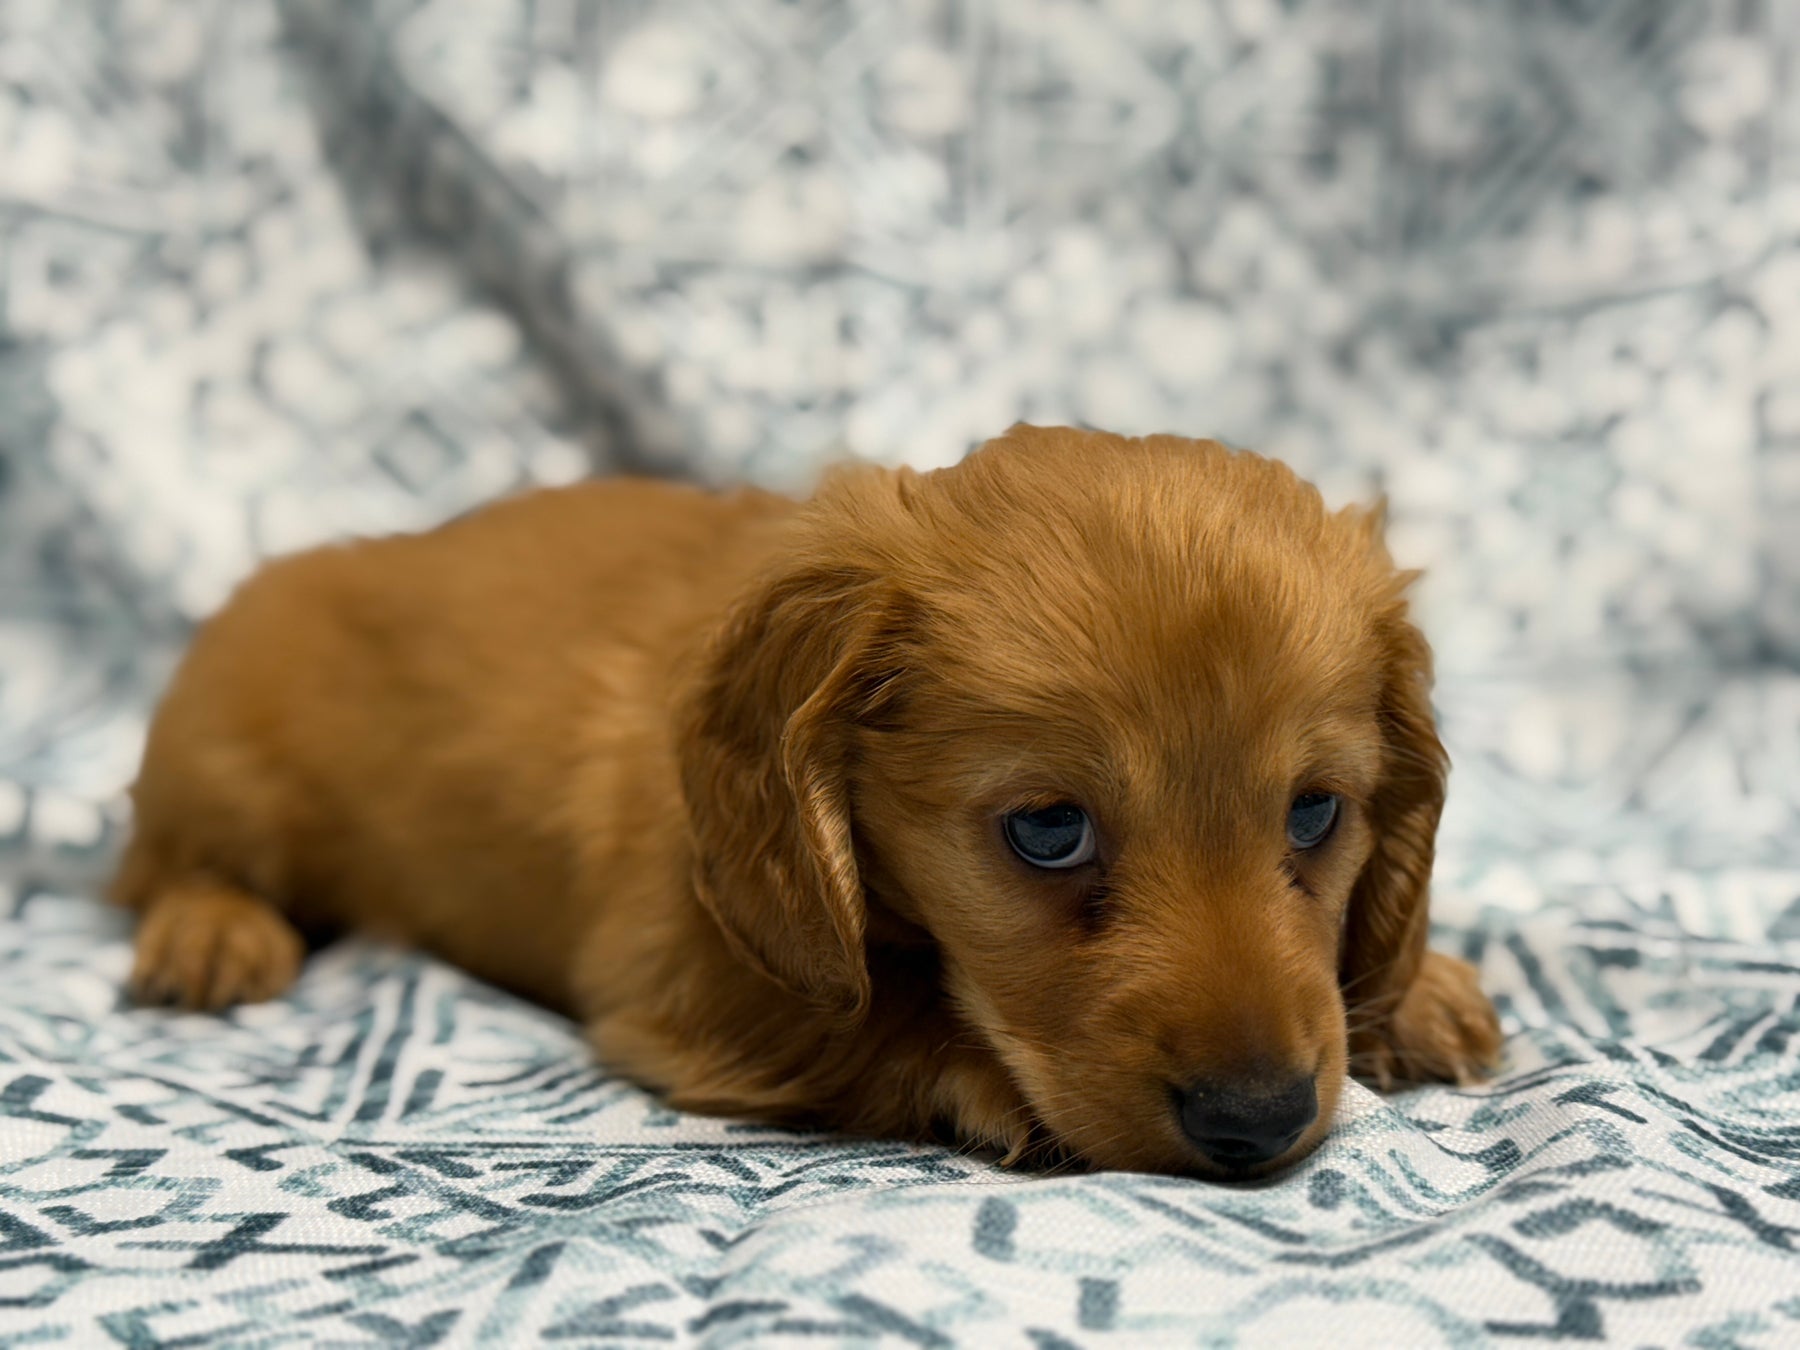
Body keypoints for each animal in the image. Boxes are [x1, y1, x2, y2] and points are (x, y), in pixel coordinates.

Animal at [111, 425, 1500, 1177]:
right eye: (1048, 831)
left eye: (1315, 813)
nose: (1260, 1121)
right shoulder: (686, 975)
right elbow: (874, 1018)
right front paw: (976, 1072)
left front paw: (1420, 989)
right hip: (221, 775)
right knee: (166, 864)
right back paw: (210, 935)